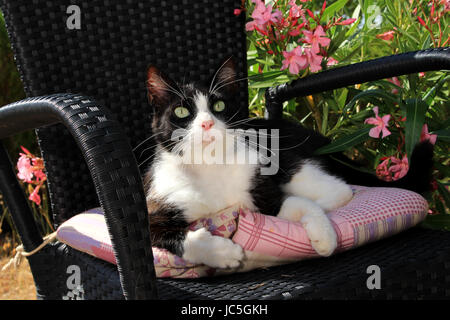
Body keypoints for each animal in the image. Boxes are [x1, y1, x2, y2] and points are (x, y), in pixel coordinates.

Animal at [143, 58, 432, 268]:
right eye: (182, 111)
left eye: (219, 106)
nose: (207, 123)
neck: (209, 167)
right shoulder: (153, 205)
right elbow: (176, 236)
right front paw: (222, 253)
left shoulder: (263, 188)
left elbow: (293, 203)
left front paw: (325, 237)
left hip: (288, 158)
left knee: (340, 188)